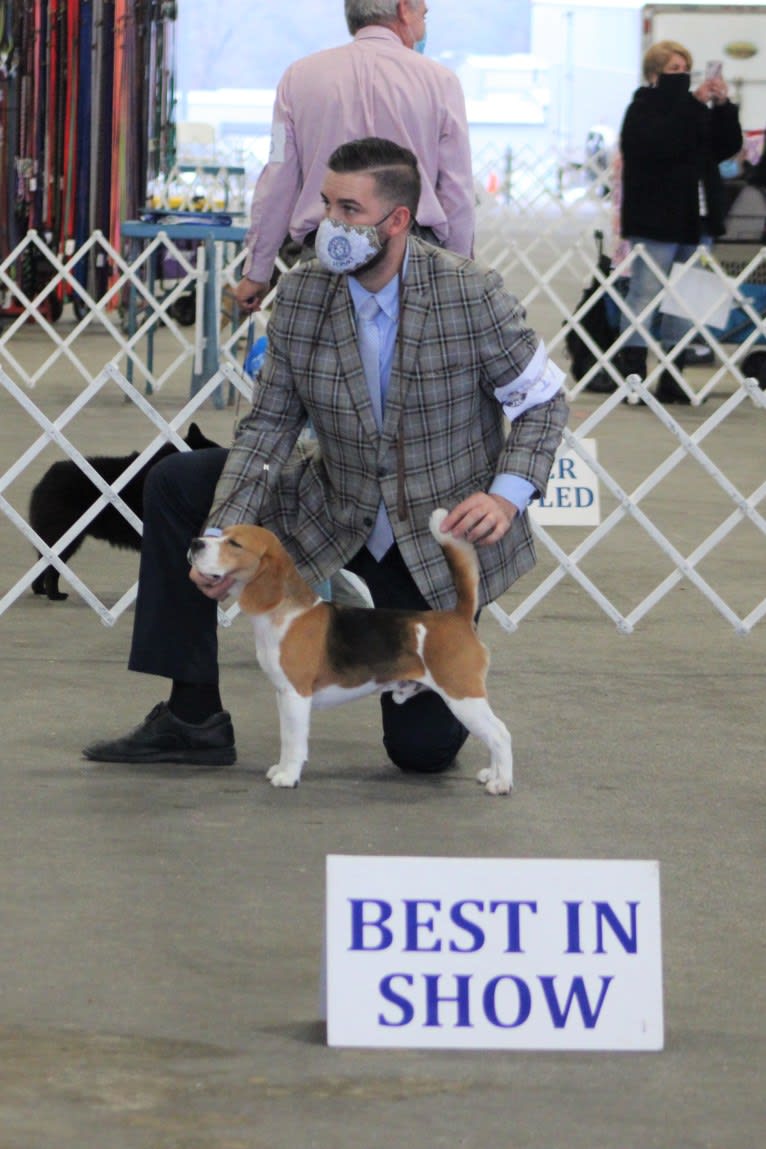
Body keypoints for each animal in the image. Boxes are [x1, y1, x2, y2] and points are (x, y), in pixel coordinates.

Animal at [30, 422, 220, 602]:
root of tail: (46, 479)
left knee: (41, 563)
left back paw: (40, 590)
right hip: (65, 539)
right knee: (52, 567)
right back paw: (54, 595)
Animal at [189, 514, 514, 799]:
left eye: (235, 544)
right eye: (221, 534)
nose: (195, 542)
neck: (285, 612)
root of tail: (457, 617)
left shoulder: (296, 695)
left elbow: (294, 741)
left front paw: (288, 776)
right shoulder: (283, 694)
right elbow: (285, 737)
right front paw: (280, 768)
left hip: (462, 695)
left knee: (500, 734)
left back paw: (502, 783)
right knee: (494, 734)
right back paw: (492, 773)